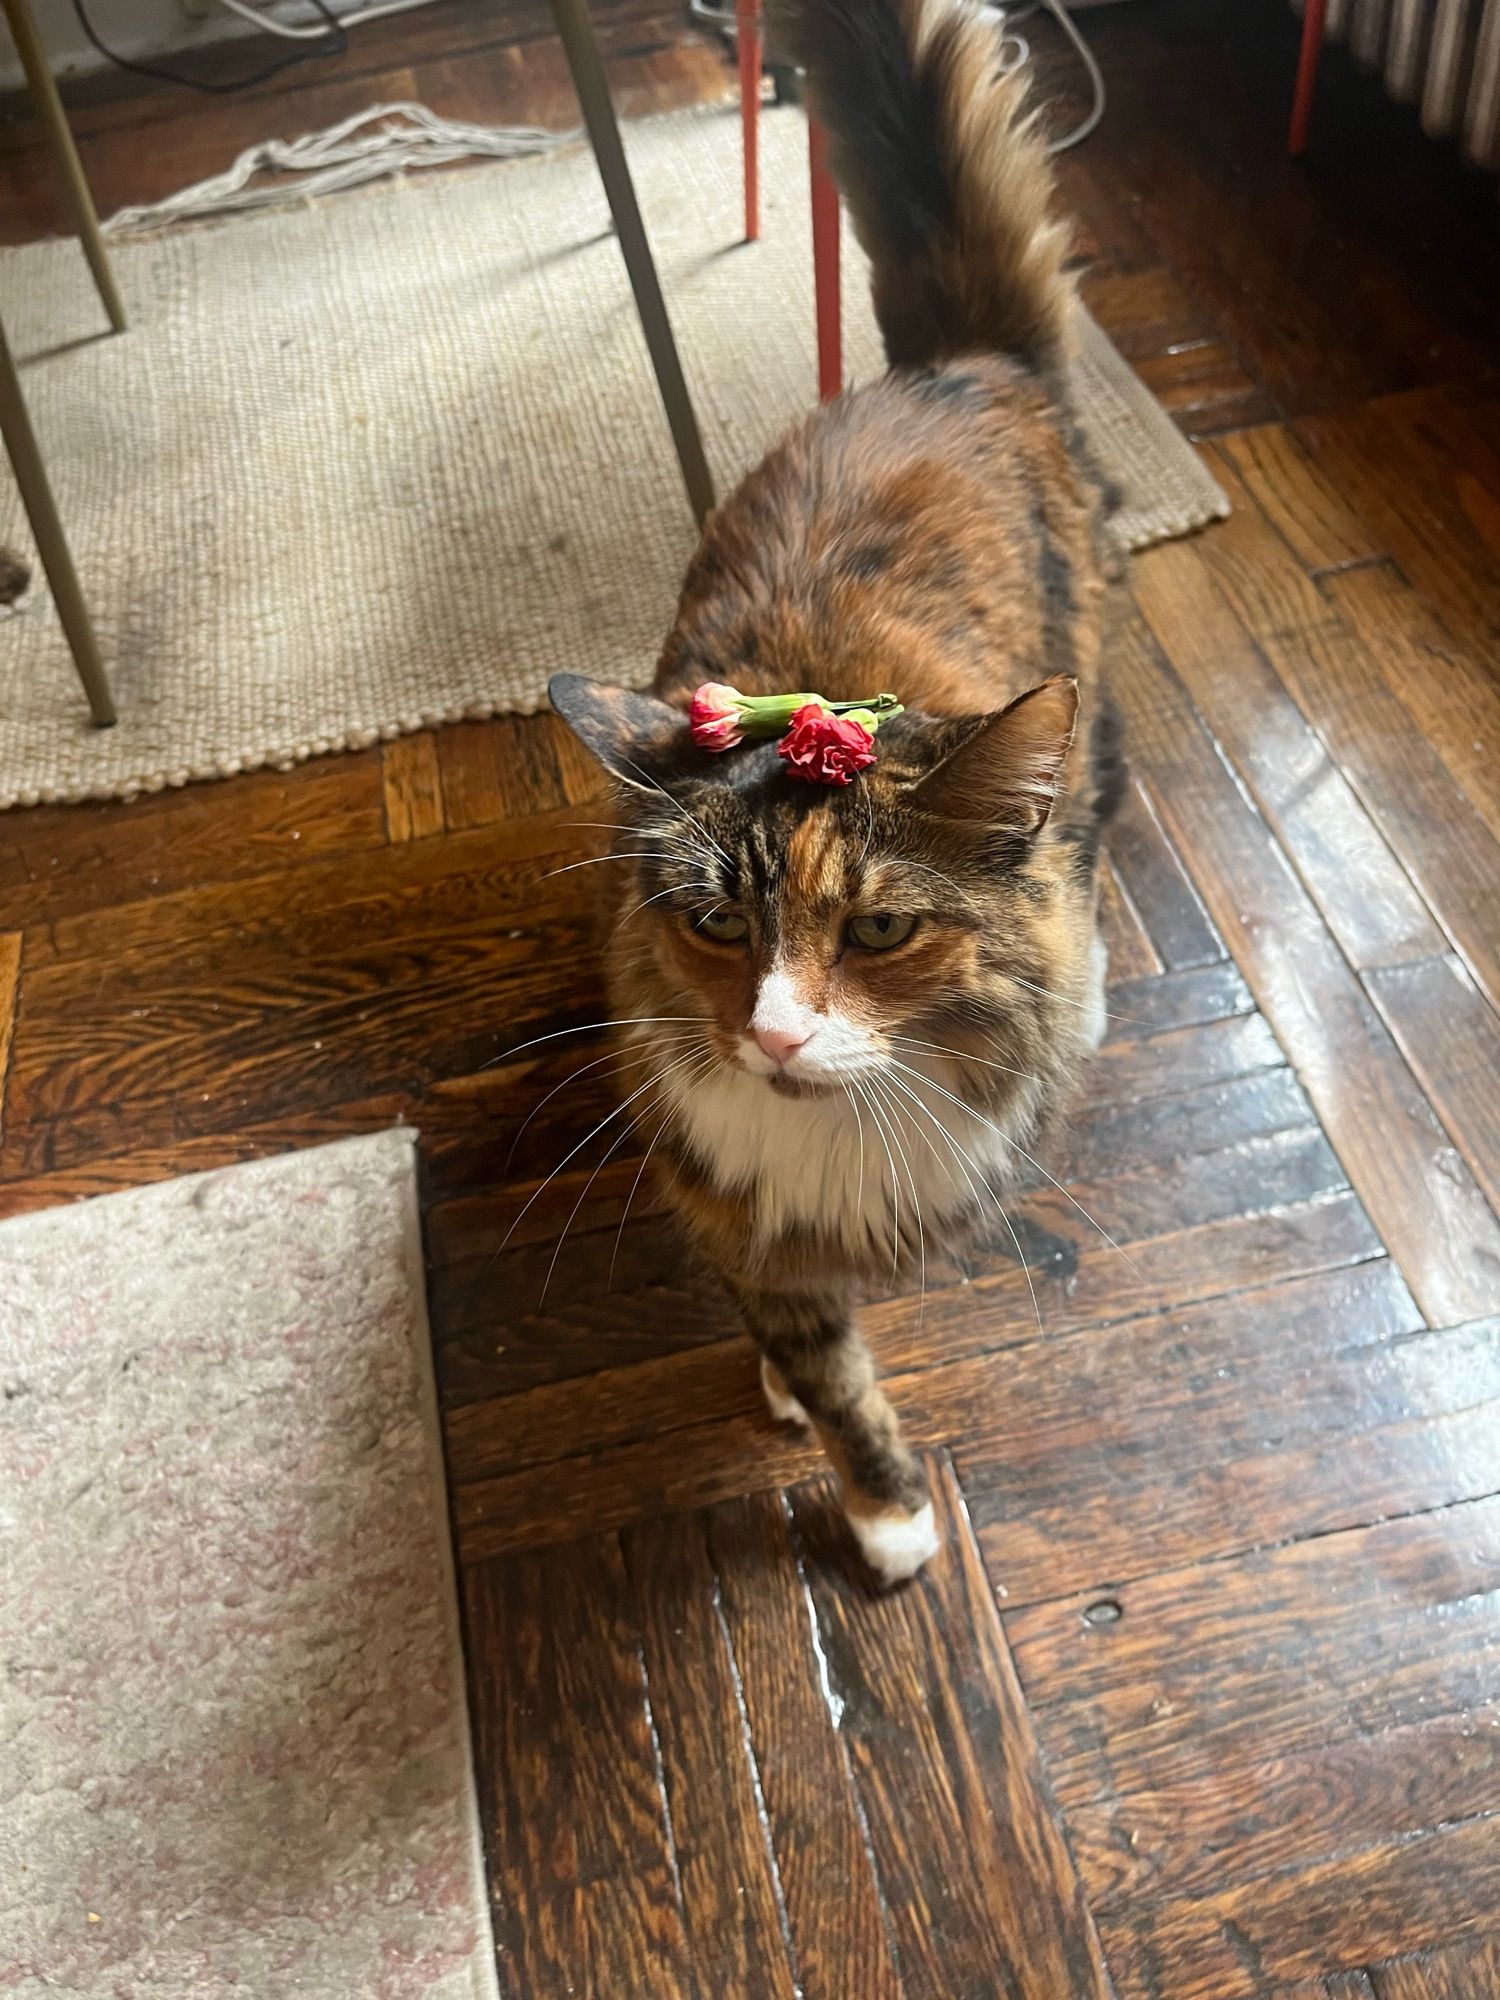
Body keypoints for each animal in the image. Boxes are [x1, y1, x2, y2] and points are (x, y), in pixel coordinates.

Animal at [552, 0, 1128, 1576]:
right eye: (713, 929)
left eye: (877, 931)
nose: (776, 1037)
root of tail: (957, 366)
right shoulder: (741, 1212)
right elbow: (826, 1368)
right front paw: (877, 1501)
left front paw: (886, 1526)